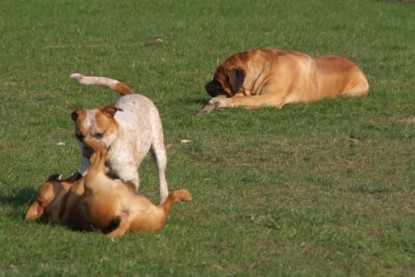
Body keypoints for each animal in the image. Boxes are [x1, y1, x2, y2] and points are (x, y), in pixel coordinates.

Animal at [70, 73, 169, 203]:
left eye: (99, 134)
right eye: (80, 136)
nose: (88, 150)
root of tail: (132, 94)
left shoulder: (130, 175)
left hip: (159, 151)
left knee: (162, 177)